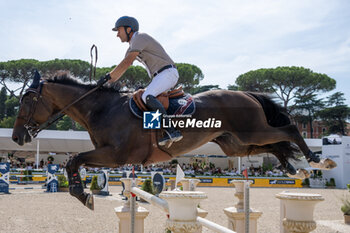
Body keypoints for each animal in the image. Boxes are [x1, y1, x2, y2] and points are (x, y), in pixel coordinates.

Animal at [11, 72, 336, 209]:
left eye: (26, 100)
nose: (16, 137)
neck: (101, 108)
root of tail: (246, 94)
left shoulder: (114, 155)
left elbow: (73, 160)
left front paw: (82, 195)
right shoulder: (109, 156)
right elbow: (72, 162)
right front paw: (82, 193)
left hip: (250, 132)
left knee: (290, 129)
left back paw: (318, 160)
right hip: (238, 142)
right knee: (276, 144)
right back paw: (296, 169)